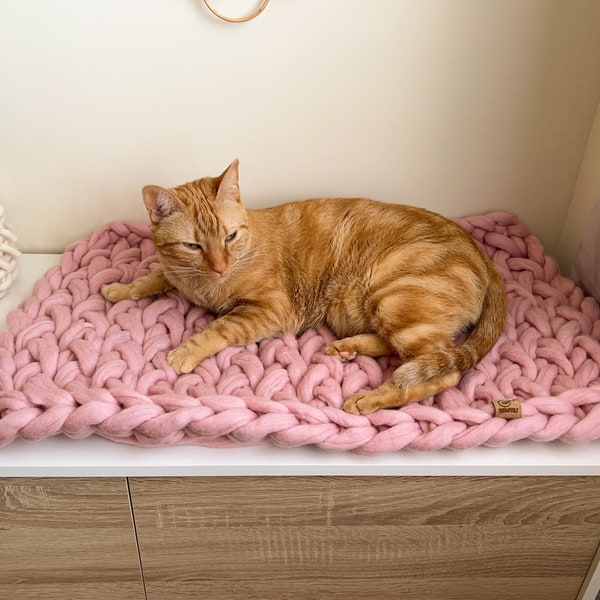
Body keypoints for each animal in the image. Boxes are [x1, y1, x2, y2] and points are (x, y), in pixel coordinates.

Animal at [103, 159, 506, 412]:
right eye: (193, 246)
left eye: (230, 236)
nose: (220, 266)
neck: (203, 284)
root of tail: (482, 255)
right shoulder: (175, 272)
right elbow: (151, 277)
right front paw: (120, 290)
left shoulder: (269, 310)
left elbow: (219, 327)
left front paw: (185, 351)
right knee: (407, 352)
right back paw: (349, 347)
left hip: (393, 299)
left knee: (438, 370)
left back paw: (369, 398)